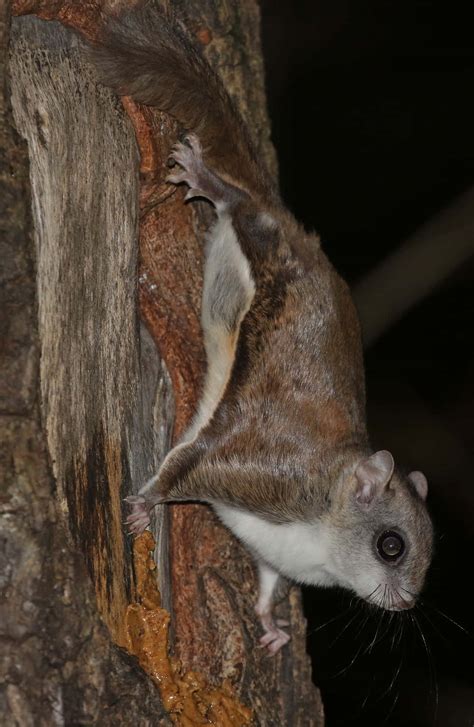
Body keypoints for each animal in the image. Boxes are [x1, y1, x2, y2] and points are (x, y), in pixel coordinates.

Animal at [90, 3, 433, 654]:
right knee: (241, 205)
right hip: (262, 240)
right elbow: (185, 468)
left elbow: (269, 581)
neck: (323, 529)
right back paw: (210, 179)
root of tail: (297, 229)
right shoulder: (257, 474)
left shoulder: (275, 552)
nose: (406, 604)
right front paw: (145, 504)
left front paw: (272, 627)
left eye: (432, 556)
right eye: (391, 545)